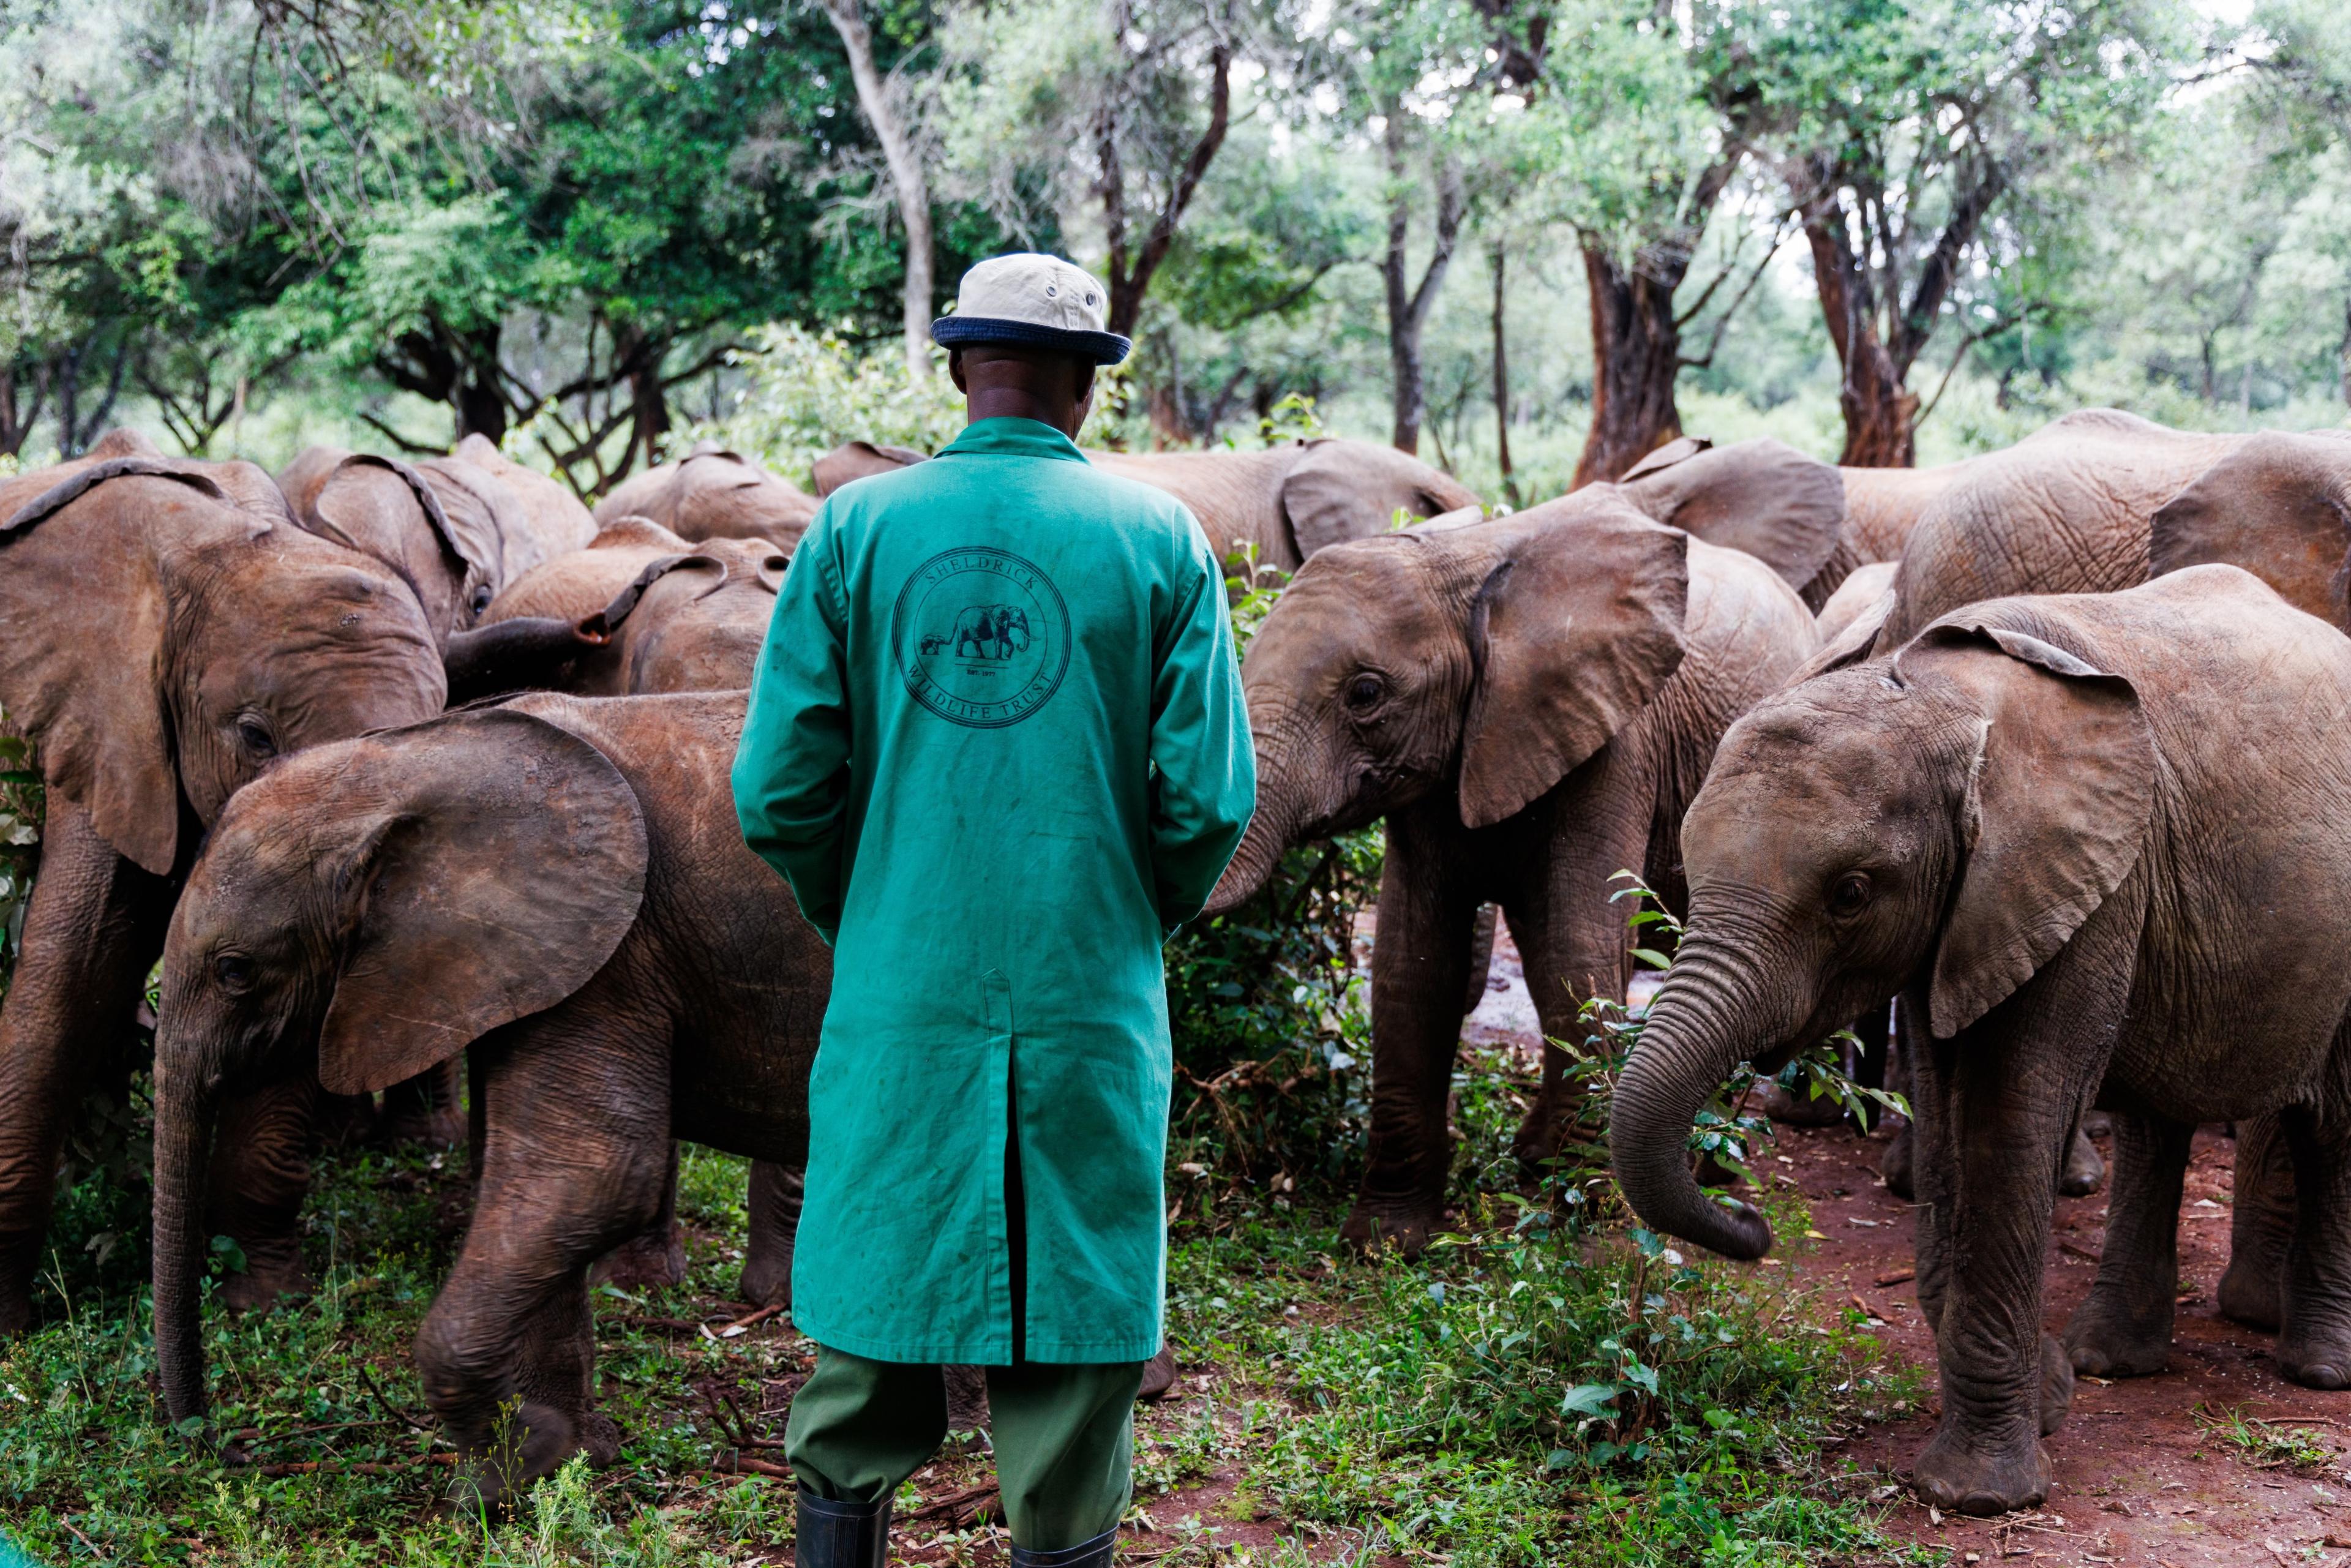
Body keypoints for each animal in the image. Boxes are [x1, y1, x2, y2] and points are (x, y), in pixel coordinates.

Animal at [150, 694, 828, 1506]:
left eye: (235, 971)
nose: (224, 1447)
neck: (407, 762)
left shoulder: (608, 954)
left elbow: (590, 1178)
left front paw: (506, 1468)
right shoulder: (533, 966)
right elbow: (538, 1189)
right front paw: (574, 1451)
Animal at [1201, 493, 1819, 1254]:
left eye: (1366, 693)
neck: (1467, 568)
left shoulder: (1618, 738)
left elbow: (1579, 952)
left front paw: (1582, 1216)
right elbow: (1414, 967)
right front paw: (1385, 1239)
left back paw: (1698, 1170)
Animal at [1611, 565, 2351, 1515]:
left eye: (1851, 893)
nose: (1751, 1220)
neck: (1934, 694)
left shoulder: (2086, 883)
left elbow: (2009, 1117)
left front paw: (1981, 1495)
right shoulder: (1975, 916)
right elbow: (1946, 1128)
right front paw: (2053, 1397)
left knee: (2335, 1121)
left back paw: (2318, 1372)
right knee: (2160, 1122)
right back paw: (2113, 1360)